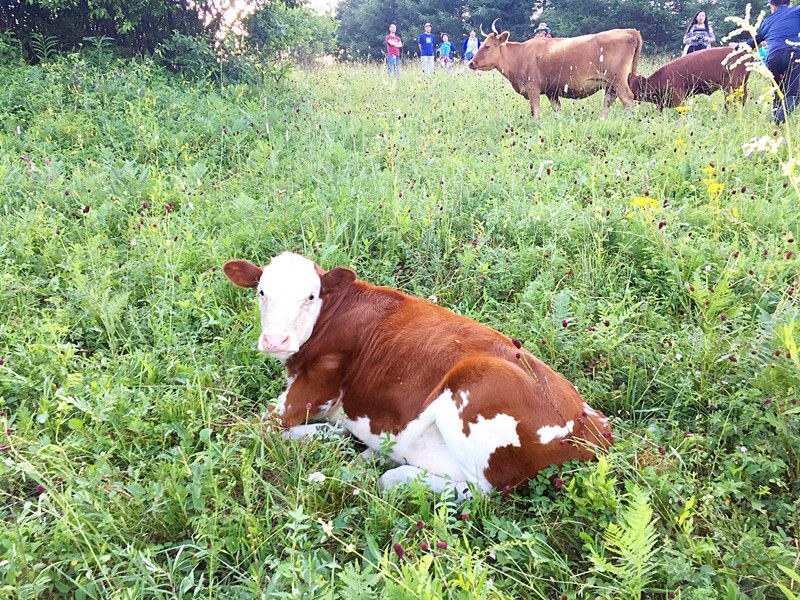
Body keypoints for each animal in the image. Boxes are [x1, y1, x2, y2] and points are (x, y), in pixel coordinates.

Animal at [223, 253, 612, 496]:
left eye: (310, 296)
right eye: (261, 292)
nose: (275, 340)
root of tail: (591, 425)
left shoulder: (315, 387)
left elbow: (246, 430)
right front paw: (330, 435)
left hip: (474, 393)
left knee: (476, 492)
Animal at [468, 26, 644, 120]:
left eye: (487, 46)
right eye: (481, 44)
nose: (471, 63)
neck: (520, 54)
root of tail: (628, 31)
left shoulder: (533, 88)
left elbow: (535, 111)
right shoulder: (551, 92)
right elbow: (557, 110)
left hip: (618, 80)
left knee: (627, 99)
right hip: (609, 84)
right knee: (609, 101)